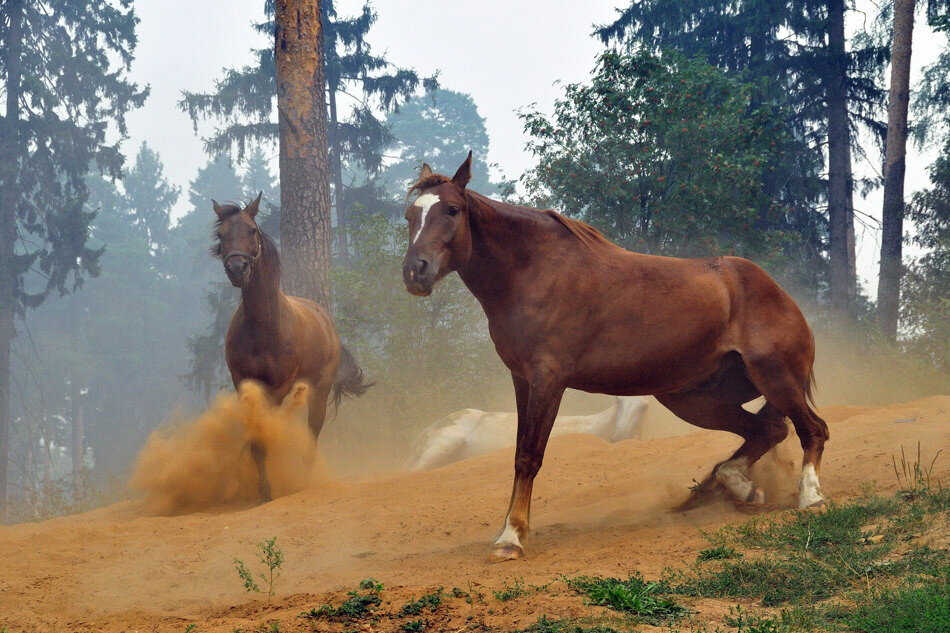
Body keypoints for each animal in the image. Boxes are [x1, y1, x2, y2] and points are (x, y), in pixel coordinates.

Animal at [213, 195, 372, 502]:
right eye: (221, 234)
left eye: (252, 230)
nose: (238, 269)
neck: (262, 326)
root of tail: (326, 320)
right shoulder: (243, 383)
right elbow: (253, 437)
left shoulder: (279, 386)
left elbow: (263, 434)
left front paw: (266, 489)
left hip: (319, 389)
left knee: (313, 430)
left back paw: (305, 477)